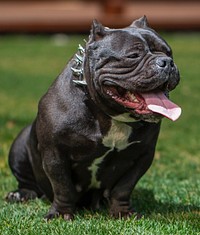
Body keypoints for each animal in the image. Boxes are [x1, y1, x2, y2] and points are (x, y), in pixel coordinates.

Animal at [6, 16, 181, 220]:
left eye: (169, 52)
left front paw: (122, 212)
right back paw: (20, 194)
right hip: (19, 144)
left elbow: (123, 188)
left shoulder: (142, 155)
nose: (167, 62)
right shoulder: (55, 153)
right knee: (28, 183)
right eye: (133, 55)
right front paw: (61, 213)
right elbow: (63, 187)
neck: (110, 115)